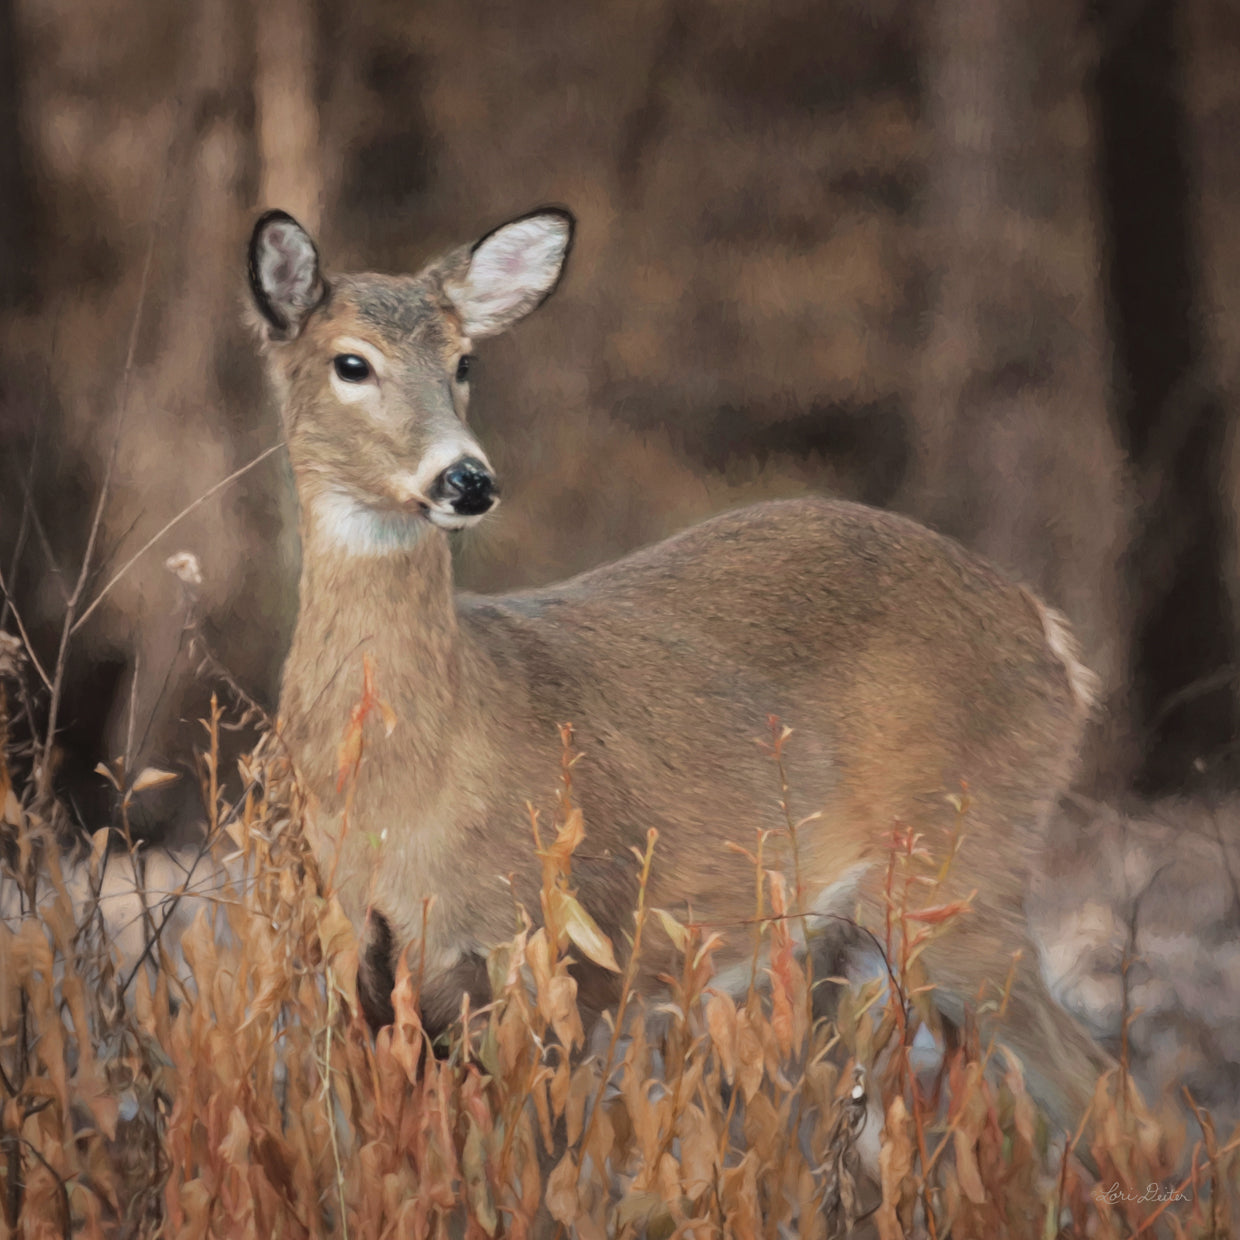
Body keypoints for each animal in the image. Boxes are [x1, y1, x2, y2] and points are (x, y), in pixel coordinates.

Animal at [246, 205, 1112, 1134]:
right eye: (351, 363)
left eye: (464, 361)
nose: (466, 479)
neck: (408, 784)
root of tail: (1050, 635)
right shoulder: (367, 984)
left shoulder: (566, 947)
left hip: (962, 871)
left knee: (1109, 1090)